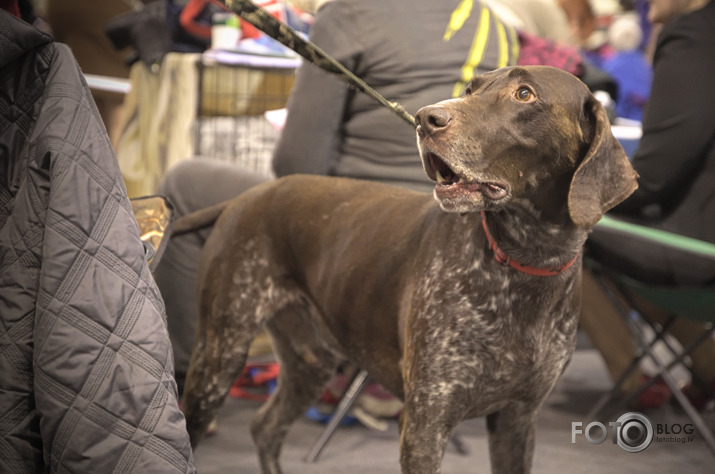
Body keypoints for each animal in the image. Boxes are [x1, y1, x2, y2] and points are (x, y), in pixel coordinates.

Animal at [179, 65, 636, 472]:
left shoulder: (517, 421)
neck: (526, 264)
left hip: (310, 362)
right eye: (470, 88)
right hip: (220, 355)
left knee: (265, 427)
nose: (426, 118)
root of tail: (246, 197)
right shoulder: (426, 424)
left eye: (524, 94)